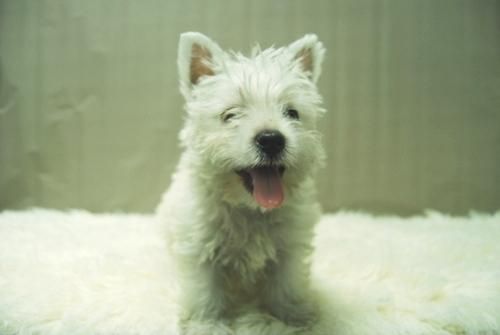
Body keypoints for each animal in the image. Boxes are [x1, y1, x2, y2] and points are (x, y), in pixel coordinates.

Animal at [158, 32, 326, 335]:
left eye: (292, 113)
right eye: (230, 114)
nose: (271, 139)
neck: (250, 209)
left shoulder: (290, 248)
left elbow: (287, 287)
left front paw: (292, 321)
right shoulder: (199, 250)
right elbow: (205, 295)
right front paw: (207, 326)